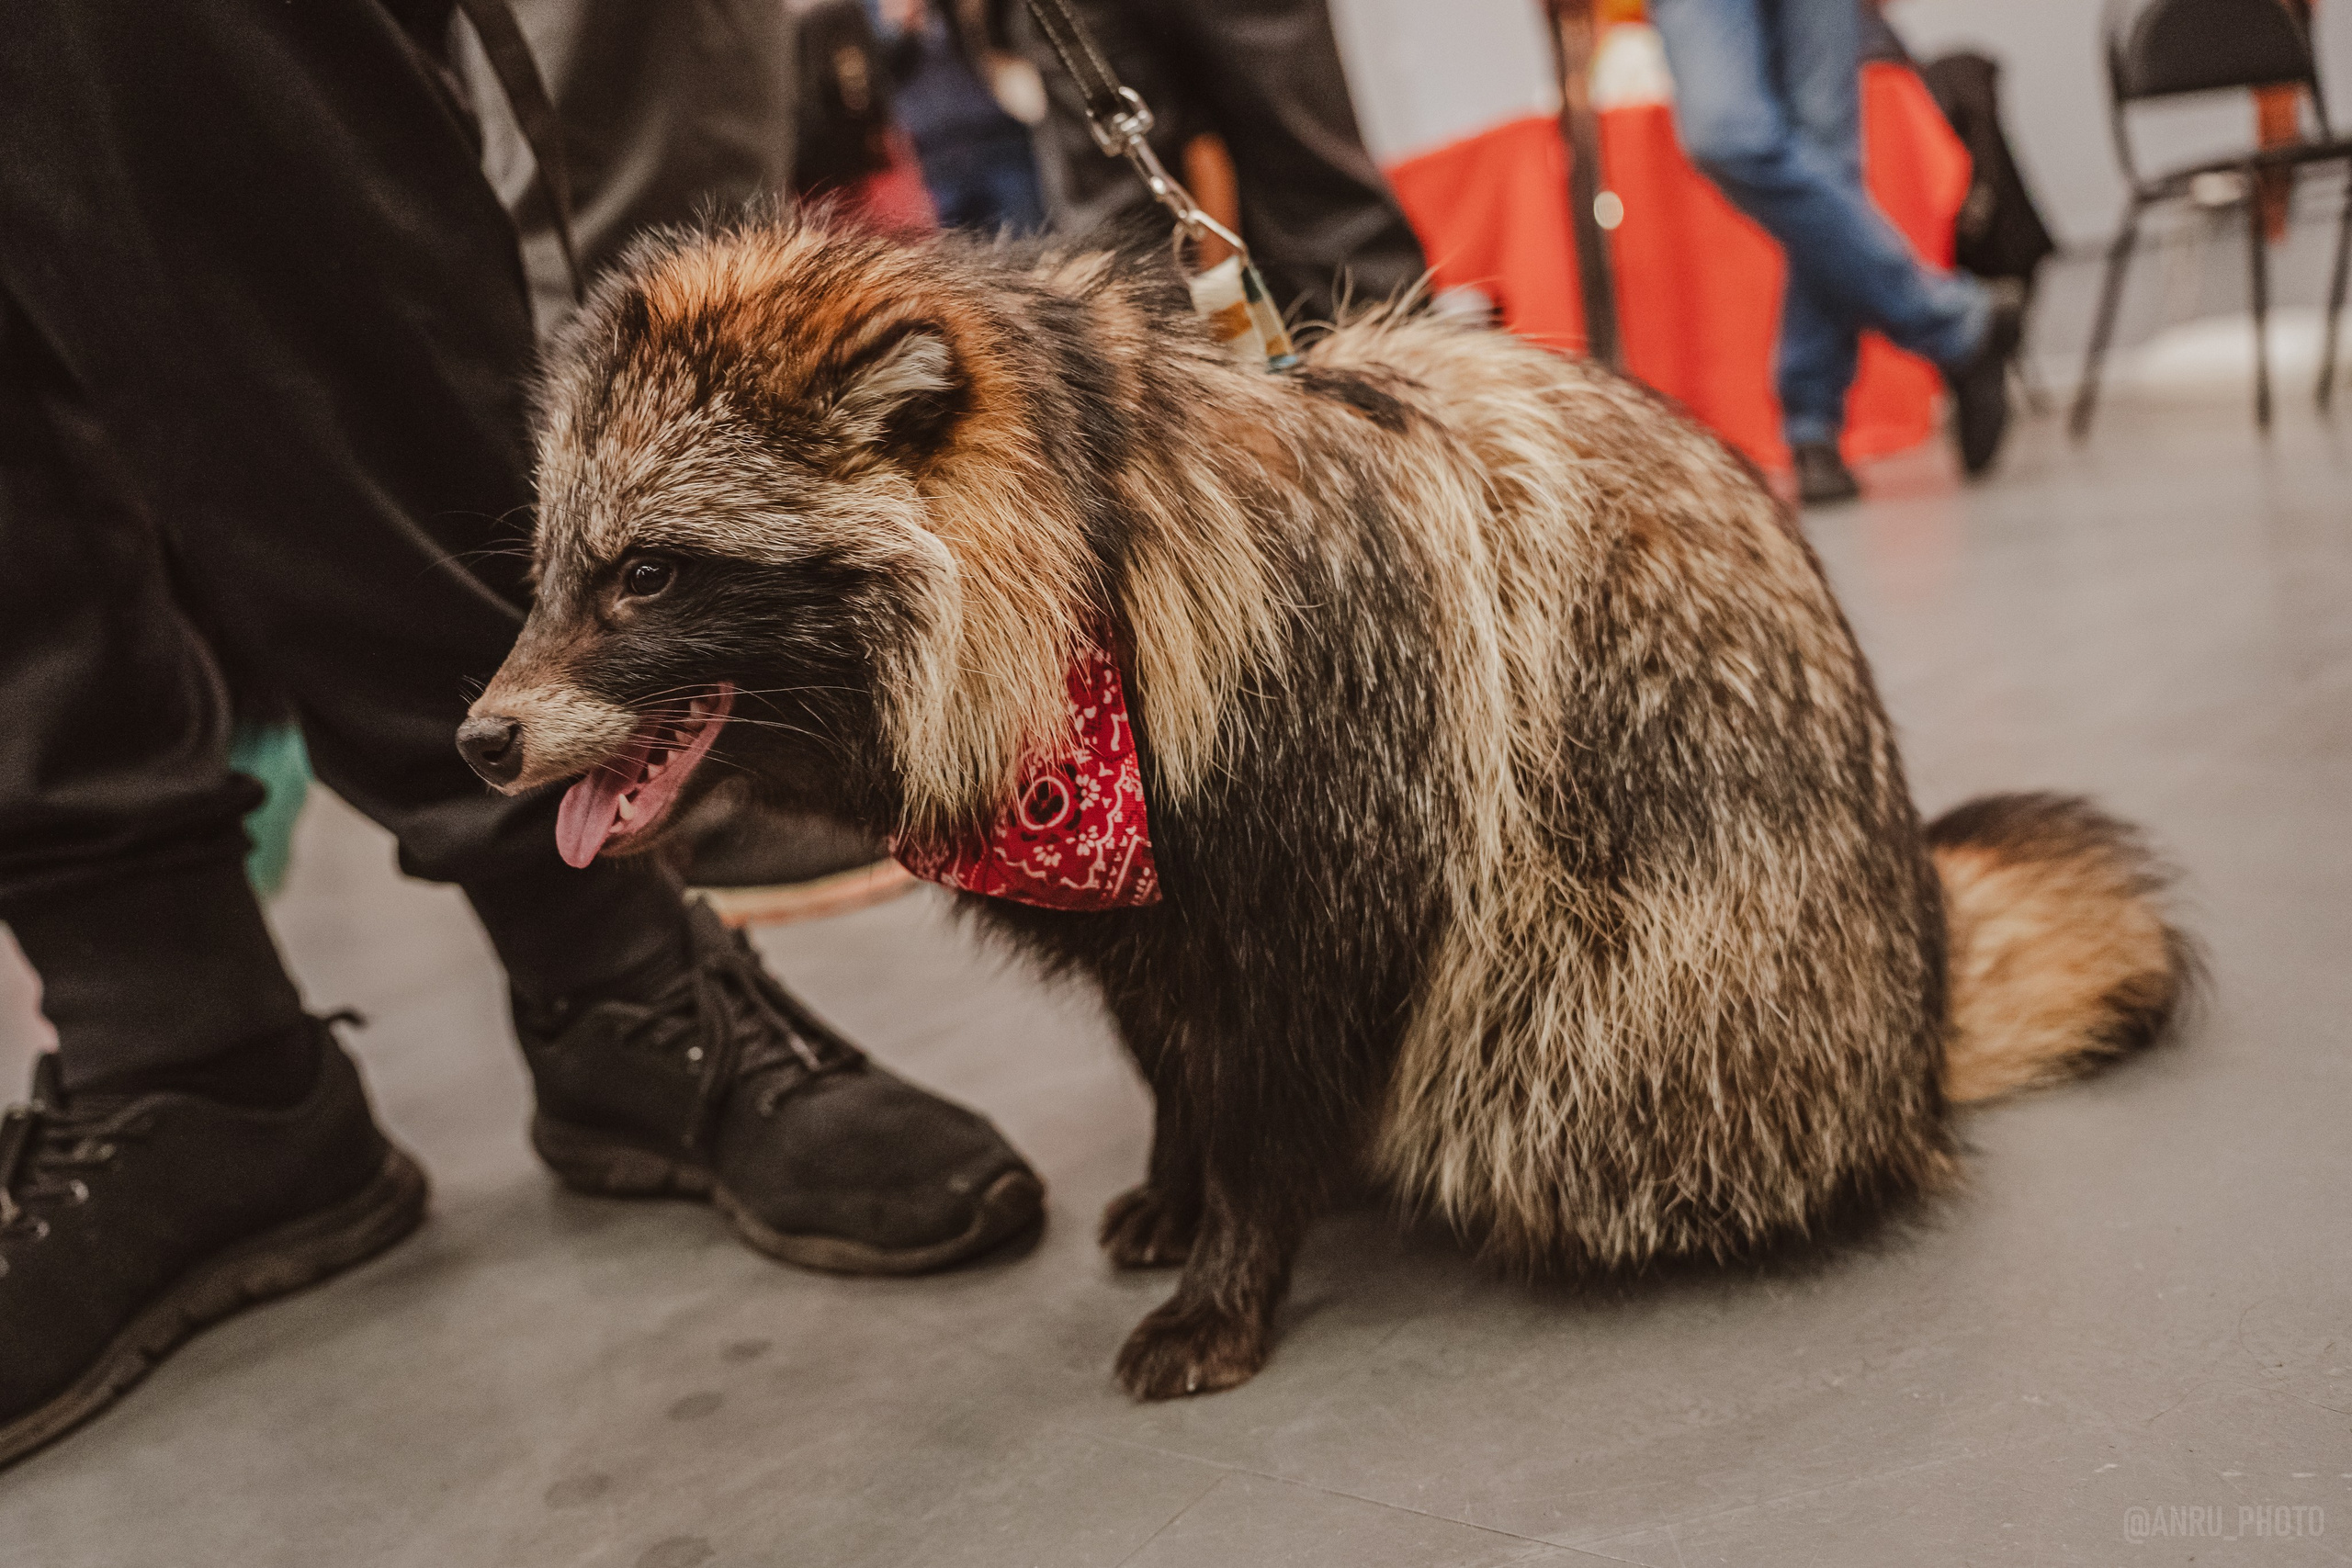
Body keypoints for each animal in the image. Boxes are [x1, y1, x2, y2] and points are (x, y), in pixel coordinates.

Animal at [459, 216, 2192, 1400]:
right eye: (556, 570)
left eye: (650, 573)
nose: (477, 740)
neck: (1090, 556)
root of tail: (1913, 1020)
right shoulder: (1157, 901)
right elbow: (1169, 1048)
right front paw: (1180, 1177)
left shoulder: (1331, 810)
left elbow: (1271, 1070)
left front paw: (1238, 1247)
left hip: (1641, 998)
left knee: (1556, 1068)